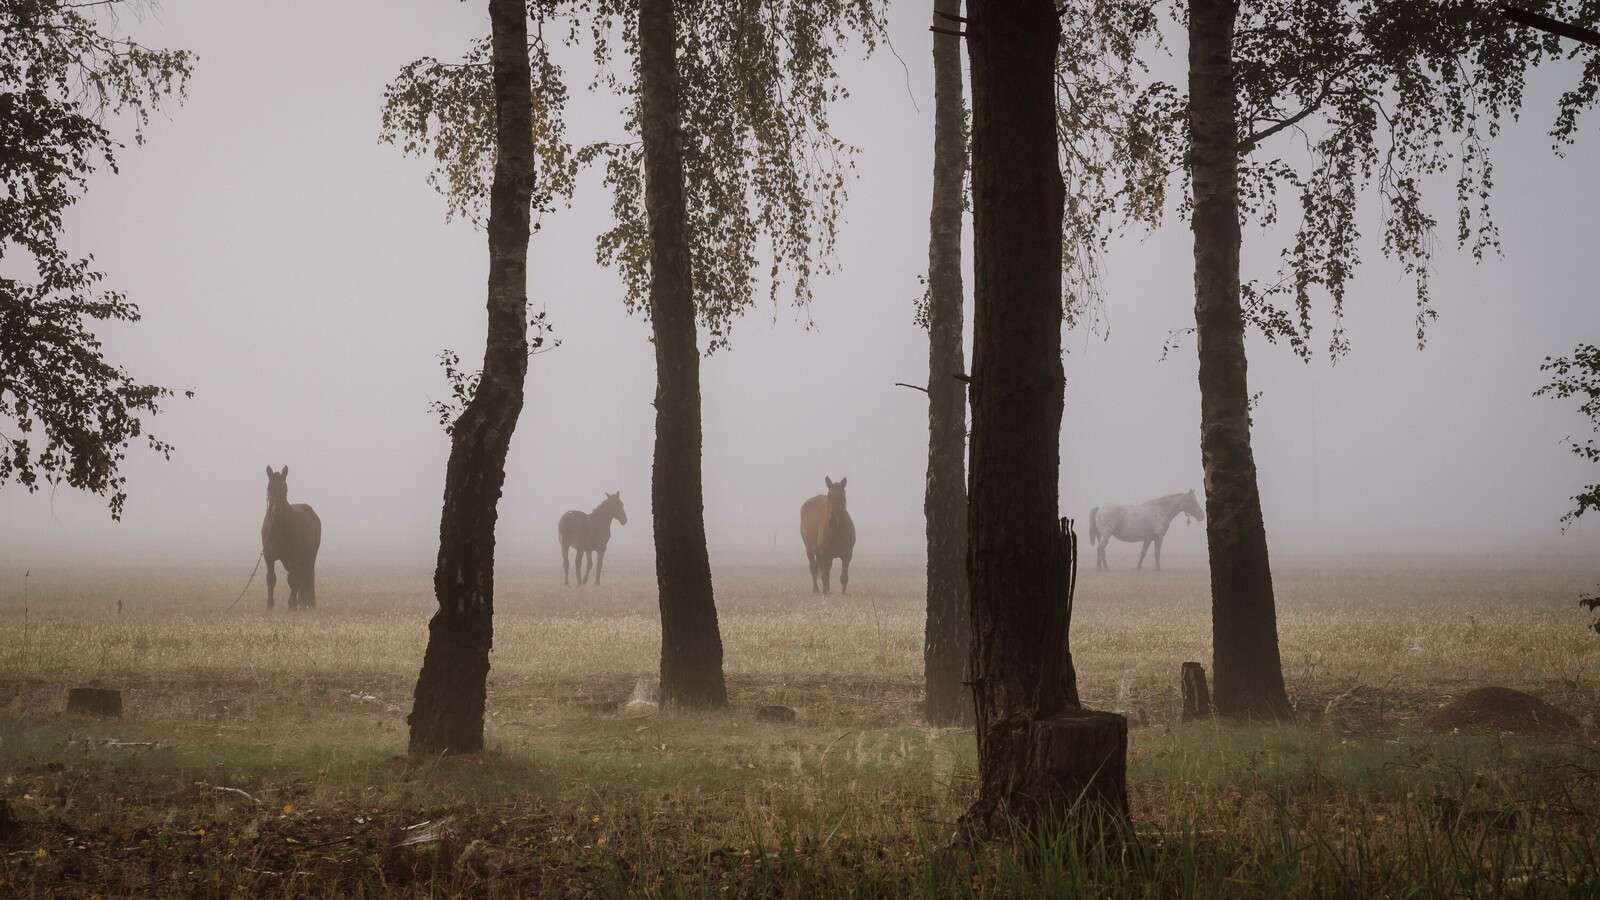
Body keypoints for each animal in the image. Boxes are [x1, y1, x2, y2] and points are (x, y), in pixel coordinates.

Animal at [261, 466, 322, 610]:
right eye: (269, 488)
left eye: (285, 489)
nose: (276, 511)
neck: (279, 528)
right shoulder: (269, 556)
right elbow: (271, 579)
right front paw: (269, 606)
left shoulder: (295, 557)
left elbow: (294, 580)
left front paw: (291, 605)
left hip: (309, 557)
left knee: (305, 575)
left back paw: (307, 603)